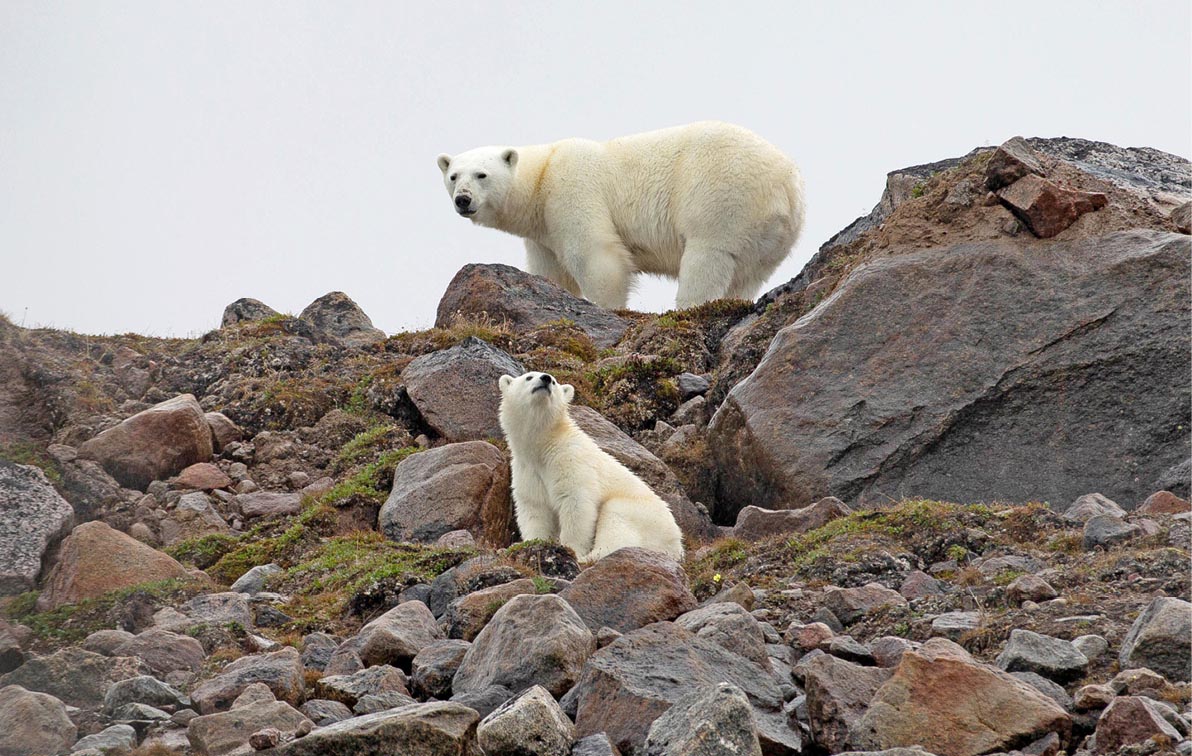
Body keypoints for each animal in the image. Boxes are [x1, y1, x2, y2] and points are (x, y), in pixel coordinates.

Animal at [437, 121, 805, 310]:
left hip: (720, 193)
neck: (542, 175)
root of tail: (786, 182)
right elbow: (552, 273)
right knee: (746, 275)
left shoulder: (573, 191)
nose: (463, 200)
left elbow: (597, 257)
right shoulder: (542, 232)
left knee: (706, 259)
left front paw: (608, 309)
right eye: (454, 176)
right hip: (765, 234)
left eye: (482, 175)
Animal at [498, 370, 684, 561]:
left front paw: (571, 549)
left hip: (644, 516)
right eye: (528, 377)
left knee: (616, 522)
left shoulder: (571, 459)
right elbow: (535, 508)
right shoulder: (527, 470)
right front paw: (528, 544)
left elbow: (576, 503)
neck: (543, 446)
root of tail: (677, 544)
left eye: (555, 382)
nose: (546, 379)